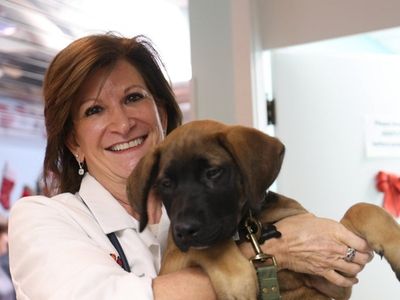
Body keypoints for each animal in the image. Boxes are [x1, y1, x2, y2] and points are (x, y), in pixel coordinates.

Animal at [127, 119, 400, 300]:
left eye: (213, 172)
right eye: (165, 184)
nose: (183, 230)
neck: (246, 224)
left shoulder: (334, 279)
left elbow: (361, 208)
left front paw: (395, 245)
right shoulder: (172, 264)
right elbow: (210, 247)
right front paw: (239, 281)